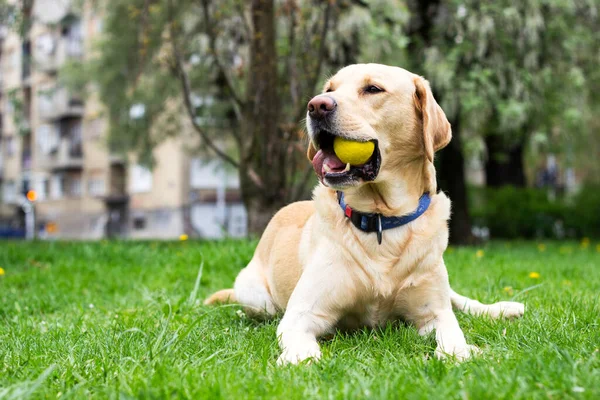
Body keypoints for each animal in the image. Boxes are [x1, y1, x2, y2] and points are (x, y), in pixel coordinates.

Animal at [205, 63, 520, 366]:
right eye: (329, 89)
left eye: (372, 89)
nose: (316, 105)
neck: (380, 218)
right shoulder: (302, 313)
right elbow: (301, 340)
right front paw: (300, 358)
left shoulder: (434, 311)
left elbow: (452, 331)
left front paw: (460, 352)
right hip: (257, 297)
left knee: (459, 300)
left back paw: (503, 308)